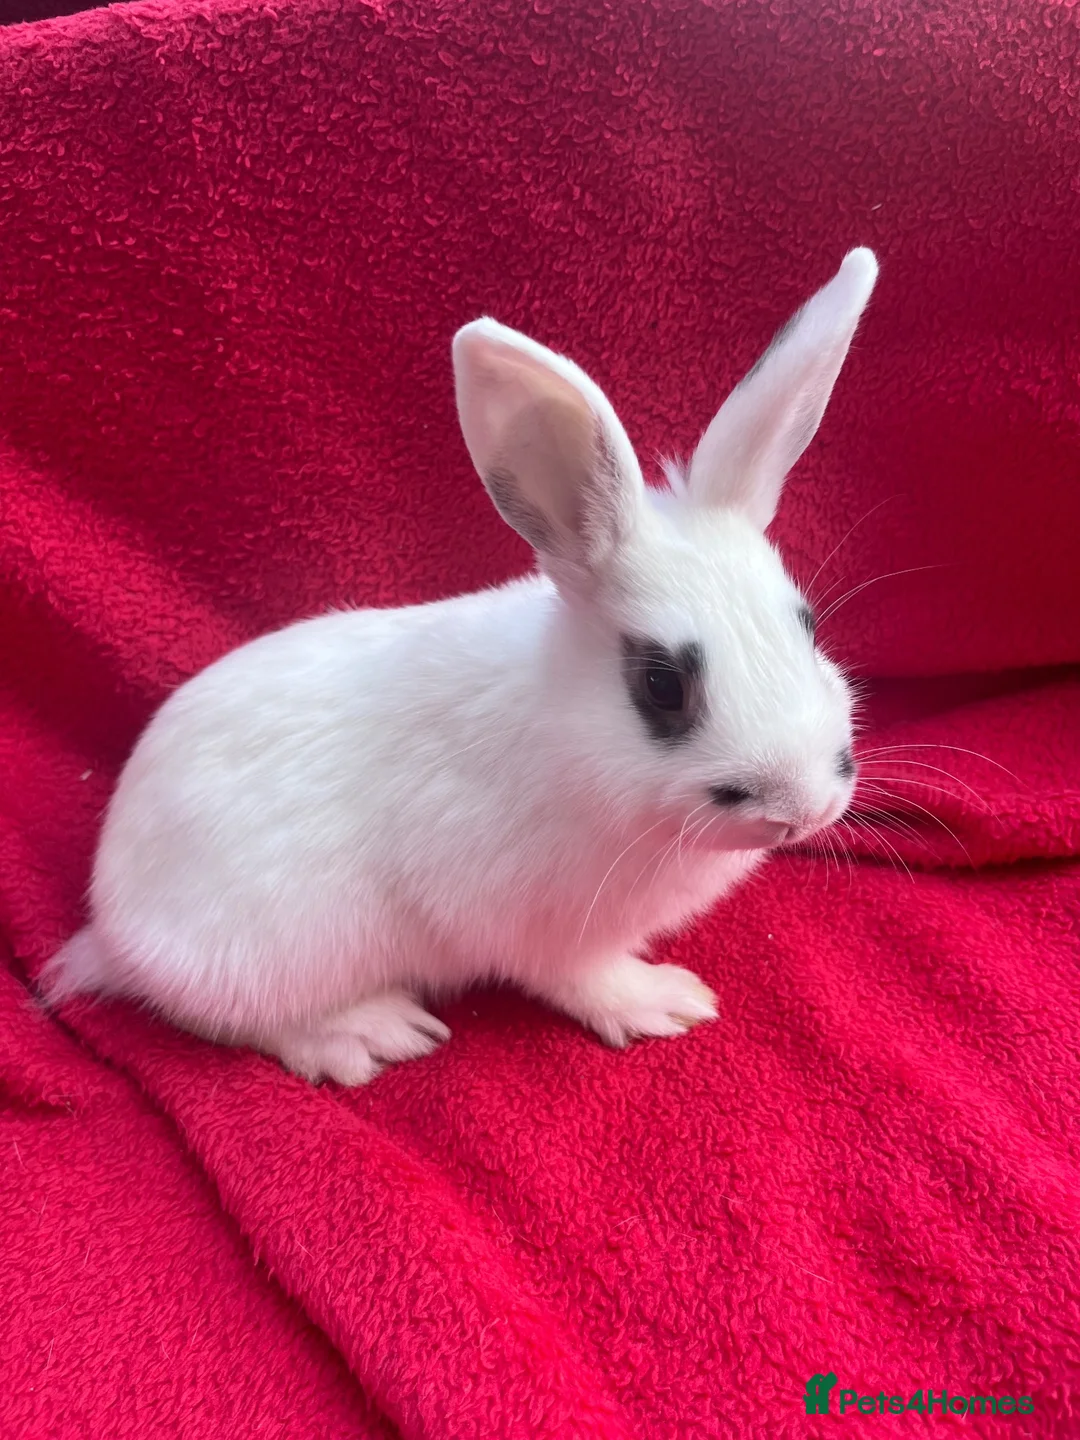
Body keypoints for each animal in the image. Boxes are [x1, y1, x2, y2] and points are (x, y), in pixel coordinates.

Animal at [44, 248, 878, 1086]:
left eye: (807, 626)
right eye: (662, 685)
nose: (804, 807)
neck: (568, 739)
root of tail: (112, 928)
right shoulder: (536, 926)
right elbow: (582, 977)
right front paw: (666, 1002)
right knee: (231, 1020)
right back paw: (371, 1032)